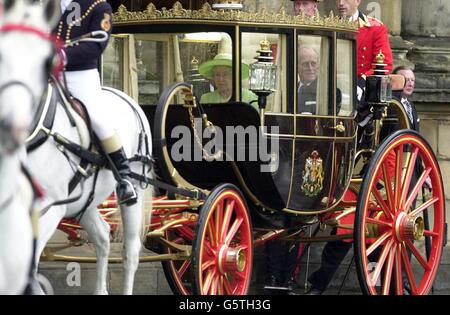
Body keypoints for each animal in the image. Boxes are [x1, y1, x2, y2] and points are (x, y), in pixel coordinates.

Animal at [1, 0, 154, 296]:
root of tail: (127, 98)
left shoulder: (47, 210)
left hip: (134, 193)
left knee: (130, 252)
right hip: (85, 202)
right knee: (103, 237)